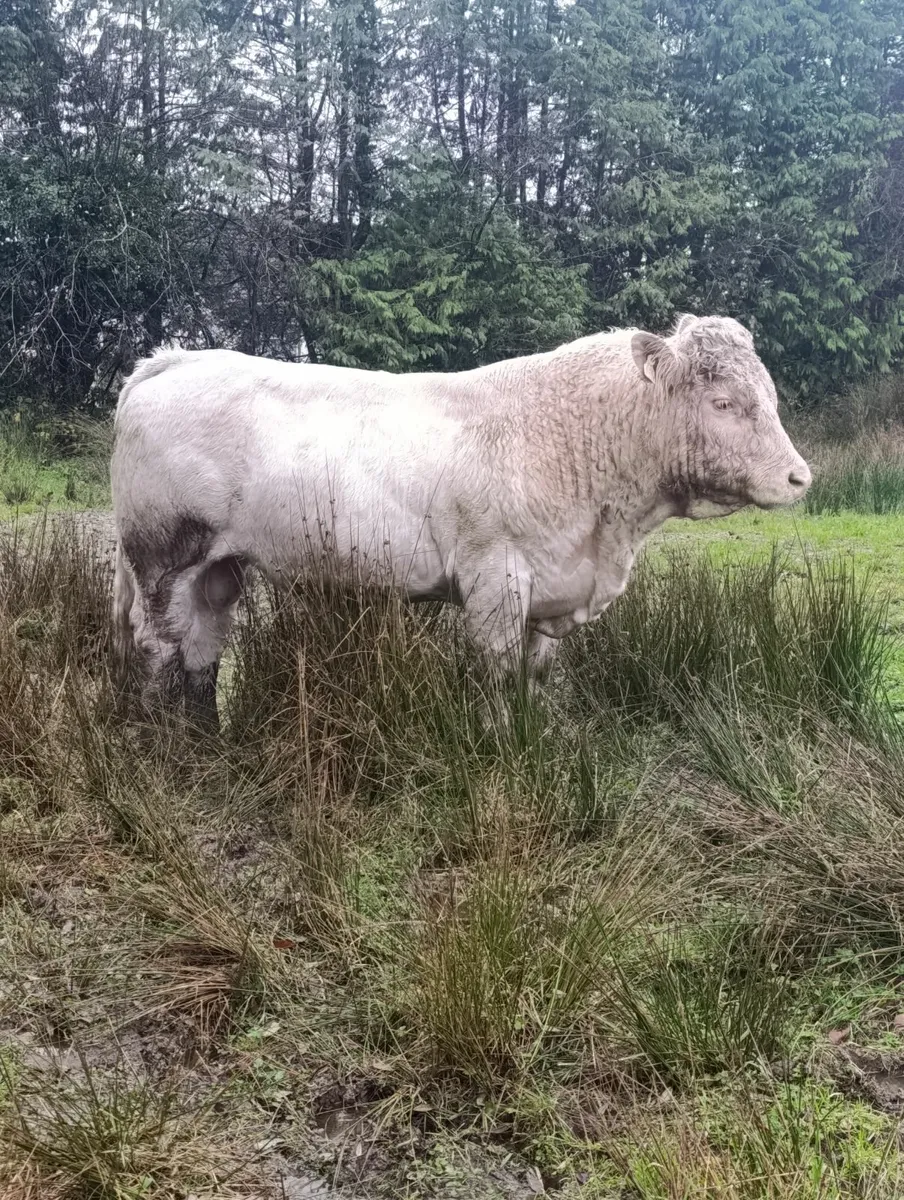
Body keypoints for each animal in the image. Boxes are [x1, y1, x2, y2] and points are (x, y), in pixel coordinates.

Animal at [111, 314, 811, 729]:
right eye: (723, 403)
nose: (800, 477)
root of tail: (173, 361)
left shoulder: (548, 589)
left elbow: (536, 675)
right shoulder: (494, 577)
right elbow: (498, 677)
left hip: (218, 566)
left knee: (203, 645)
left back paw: (208, 736)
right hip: (163, 556)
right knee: (157, 644)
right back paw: (158, 740)